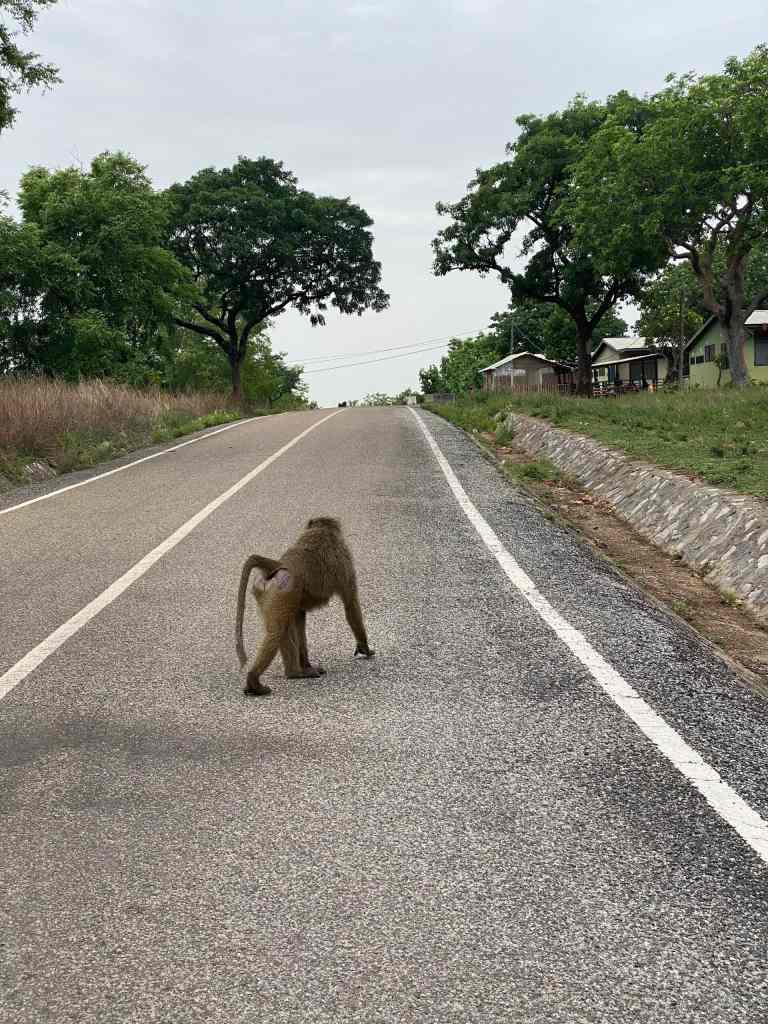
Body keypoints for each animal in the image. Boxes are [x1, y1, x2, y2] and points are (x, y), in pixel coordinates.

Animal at [235, 517, 374, 696]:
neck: (320, 531)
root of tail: (278, 564)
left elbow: (300, 618)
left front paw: (307, 664)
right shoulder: (345, 561)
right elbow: (351, 604)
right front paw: (365, 648)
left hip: (266, 592)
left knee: (283, 628)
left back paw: (295, 672)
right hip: (284, 591)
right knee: (277, 631)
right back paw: (265, 679)